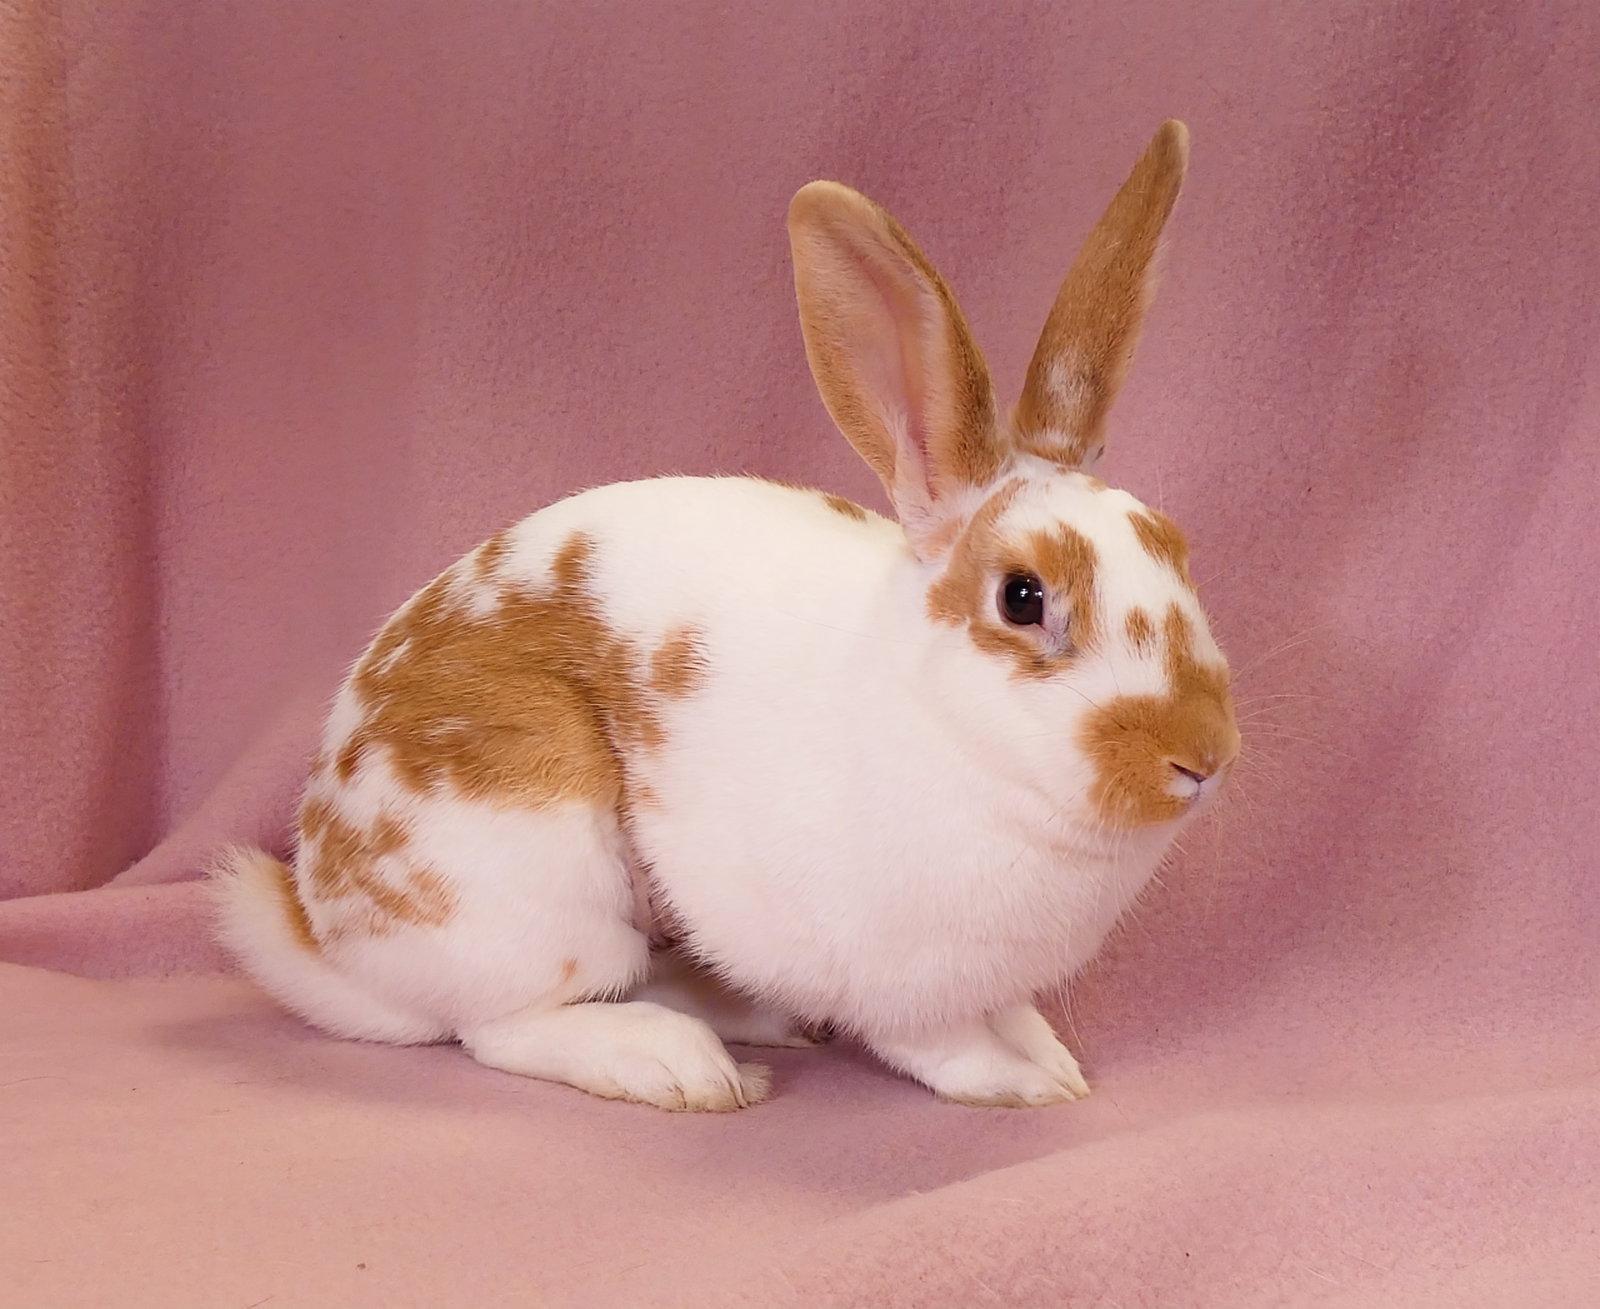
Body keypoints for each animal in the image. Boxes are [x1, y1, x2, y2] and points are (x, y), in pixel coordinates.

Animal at [213, 120, 1239, 1112]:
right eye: (1022, 597)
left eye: (1176, 545)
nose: (1203, 754)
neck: (949, 731)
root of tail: (330, 932)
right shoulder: (899, 981)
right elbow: (939, 1046)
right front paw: (1023, 1083)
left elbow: (1011, 1012)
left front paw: (1052, 1057)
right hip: (538, 869)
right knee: (504, 1024)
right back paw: (681, 1067)